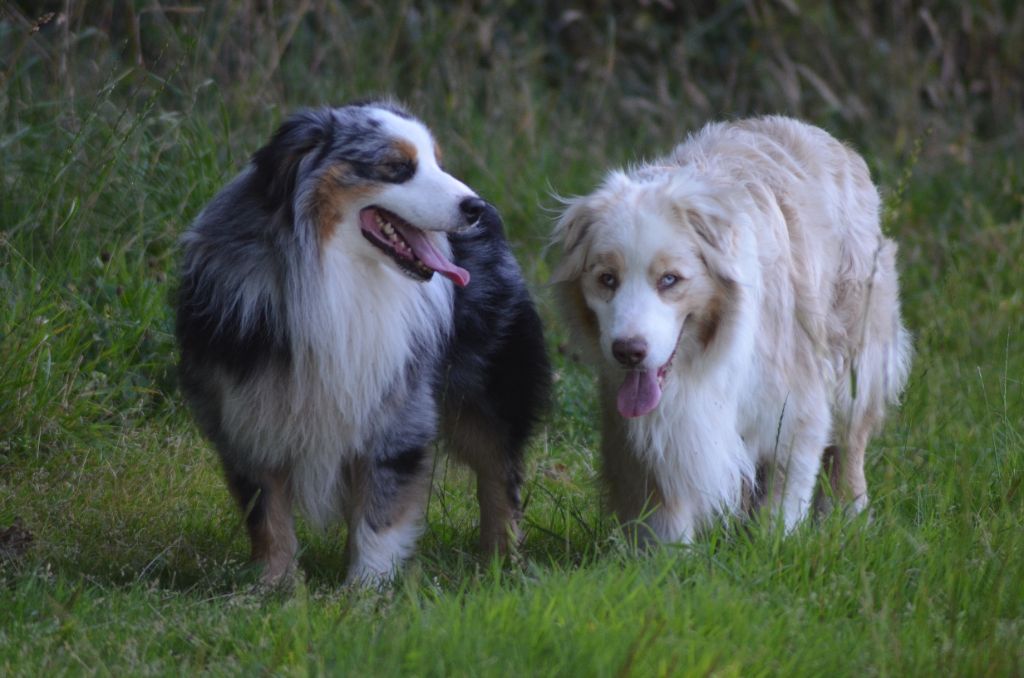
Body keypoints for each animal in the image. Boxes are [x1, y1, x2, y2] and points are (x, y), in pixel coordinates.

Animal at [552, 115, 913, 540]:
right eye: (607, 279)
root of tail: (824, 136)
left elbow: (784, 499)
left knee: (850, 440)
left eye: (670, 280)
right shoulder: (646, 433)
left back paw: (847, 516)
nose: (628, 351)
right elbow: (665, 513)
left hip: (856, 351)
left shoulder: (795, 406)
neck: (701, 361)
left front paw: (775, 545)